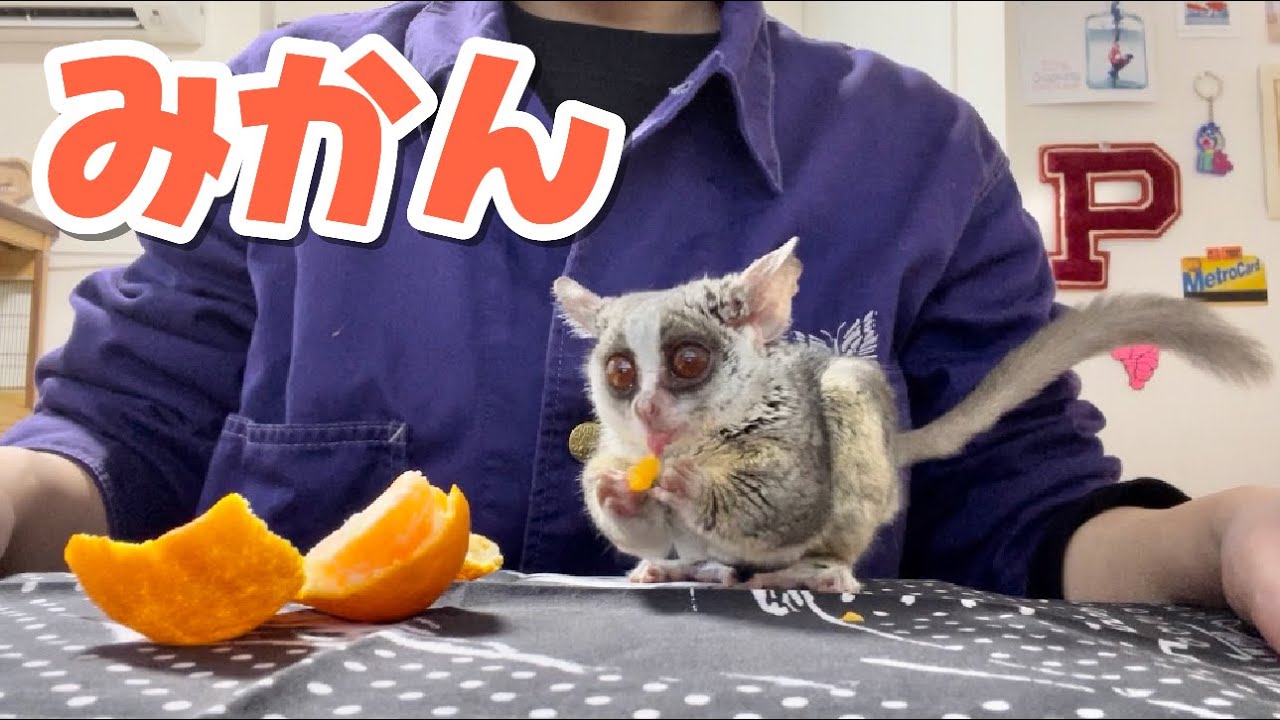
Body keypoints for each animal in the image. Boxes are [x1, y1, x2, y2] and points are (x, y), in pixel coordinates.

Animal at [550, 237, 1273, 593]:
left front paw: (685, 483)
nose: (646, 409)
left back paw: (814, 572)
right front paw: (614, 489)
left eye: (688, 361)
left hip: (852, 427)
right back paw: (679, 569)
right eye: (620, 373)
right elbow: (639, 523)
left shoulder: (790, 429)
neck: (695, 441)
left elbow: (783, 501)